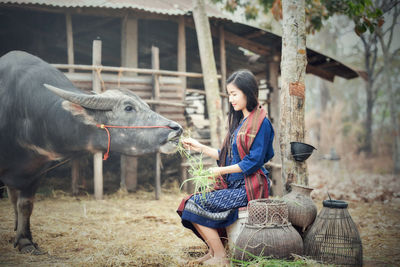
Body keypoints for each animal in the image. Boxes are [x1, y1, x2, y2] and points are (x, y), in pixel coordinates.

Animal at [0, 51, 184, 254]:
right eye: (128, 107)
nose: (177, 129)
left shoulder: (38, 171)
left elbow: (25, 204)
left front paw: (25, 240)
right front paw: (24, 241)